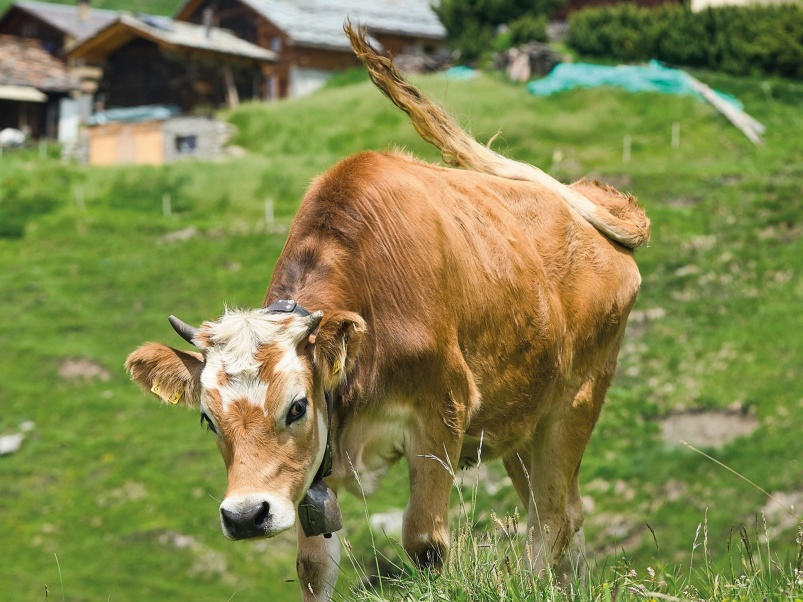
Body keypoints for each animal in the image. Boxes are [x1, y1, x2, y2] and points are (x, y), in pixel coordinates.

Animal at [127, 23, 652, 600]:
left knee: (551, 519)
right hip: (522, 420)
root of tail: (583, 195)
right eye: (207, 418)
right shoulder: (316, 471)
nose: (245, 516)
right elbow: (314, 568)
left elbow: (425, 542)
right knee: (563, 513)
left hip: (577, 398)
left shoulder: (442, 412)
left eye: (296, 408)